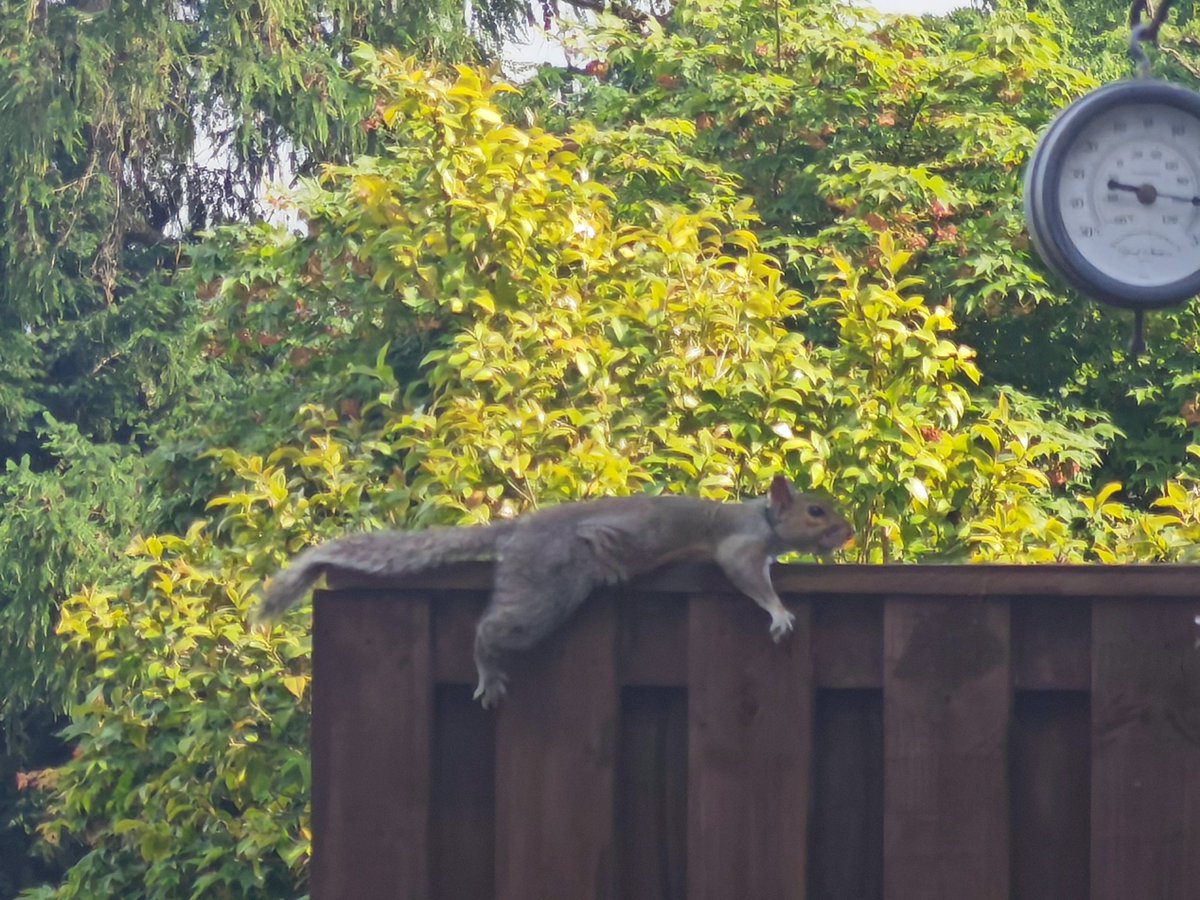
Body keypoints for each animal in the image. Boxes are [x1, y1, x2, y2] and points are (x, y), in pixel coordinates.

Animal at [255, 476, 853, 708]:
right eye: (815, 511)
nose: (847, 533)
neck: (761, 515)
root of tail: (518, 531)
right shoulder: (737, 545)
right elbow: (747, 577)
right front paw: (778, 613)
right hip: (547, 588)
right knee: (491, 628)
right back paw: (488, 673)